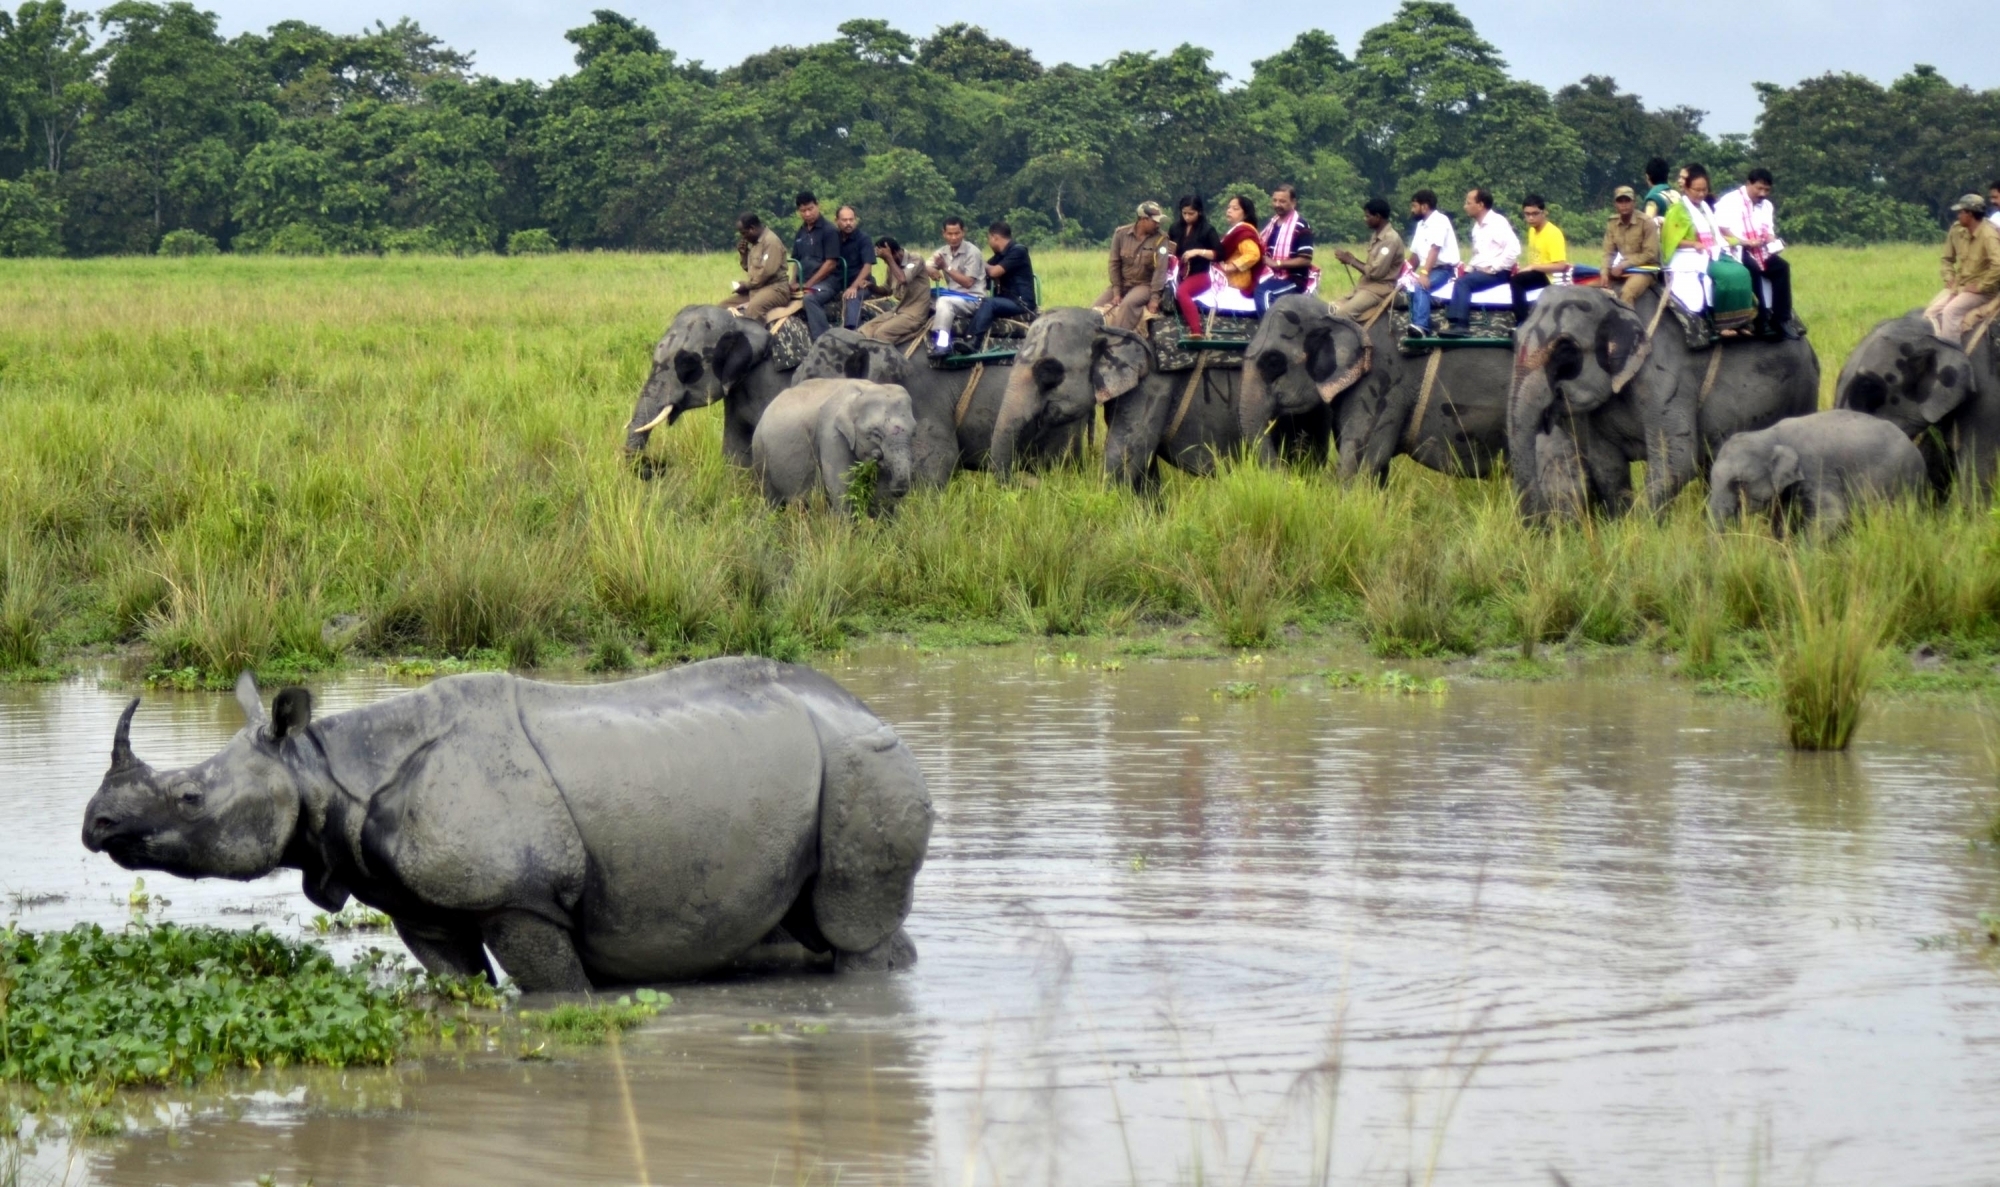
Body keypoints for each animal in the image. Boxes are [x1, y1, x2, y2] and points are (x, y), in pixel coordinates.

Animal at [82, 655, 940, 987]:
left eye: (190, 800)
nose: (96, 824)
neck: (320, 765)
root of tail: (873, 713)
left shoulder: (519, 896)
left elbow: (554, 991)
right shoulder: (421, 905)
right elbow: (457, 979)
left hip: (863, 765)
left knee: (850, 921)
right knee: (816, 923)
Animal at [752, 375, 916, 511]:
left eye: (913, 434)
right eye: (876, 434)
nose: (877, 455)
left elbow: (881, 493)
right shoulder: (831, 434)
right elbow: (840, 486)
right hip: (761, 455)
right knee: (771, 499)